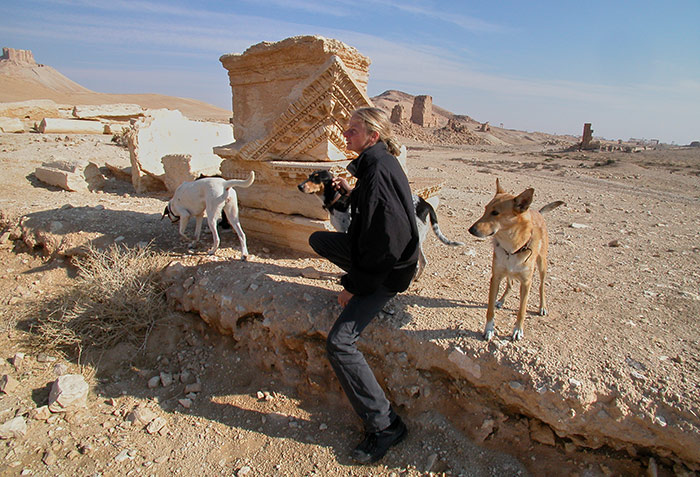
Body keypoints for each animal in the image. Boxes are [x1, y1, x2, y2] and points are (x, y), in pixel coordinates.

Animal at [296, 169, 464, 278]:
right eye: (309, 176)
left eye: (316, 178)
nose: (299, 186)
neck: (339, 198)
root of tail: (424, 203)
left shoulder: (351, 235)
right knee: (423, 261)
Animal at [470, 180, 564, 340]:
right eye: (485, 209)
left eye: (495, 213)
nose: (471, 230)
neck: (512, 246)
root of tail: (537, 212)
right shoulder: (495, 277)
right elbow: (490, 309)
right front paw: (489, 329)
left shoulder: (526, 282)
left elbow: (522, 310)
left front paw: (518, 330)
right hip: (508, 271)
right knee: (510, 283)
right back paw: (501, 300)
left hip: (542, 264)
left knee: (541, 286)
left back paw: (542, 307)